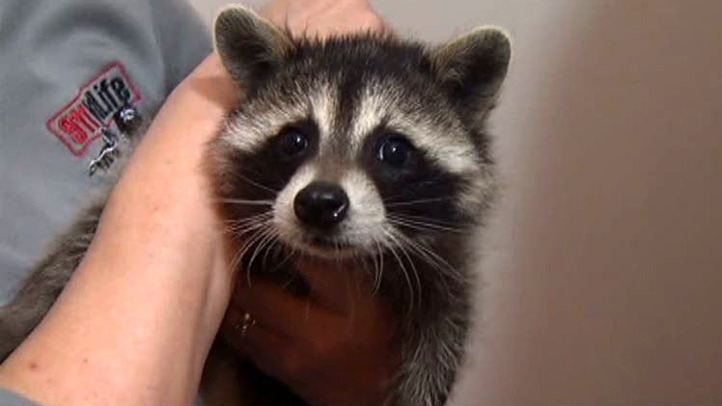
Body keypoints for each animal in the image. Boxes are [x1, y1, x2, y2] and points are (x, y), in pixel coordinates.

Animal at [0, 6, 511, 406]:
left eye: (393, 150)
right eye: (294, 140)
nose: (320, 203)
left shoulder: (443, 259)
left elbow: (444, 330)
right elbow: (85, 232)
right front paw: (20, 318)